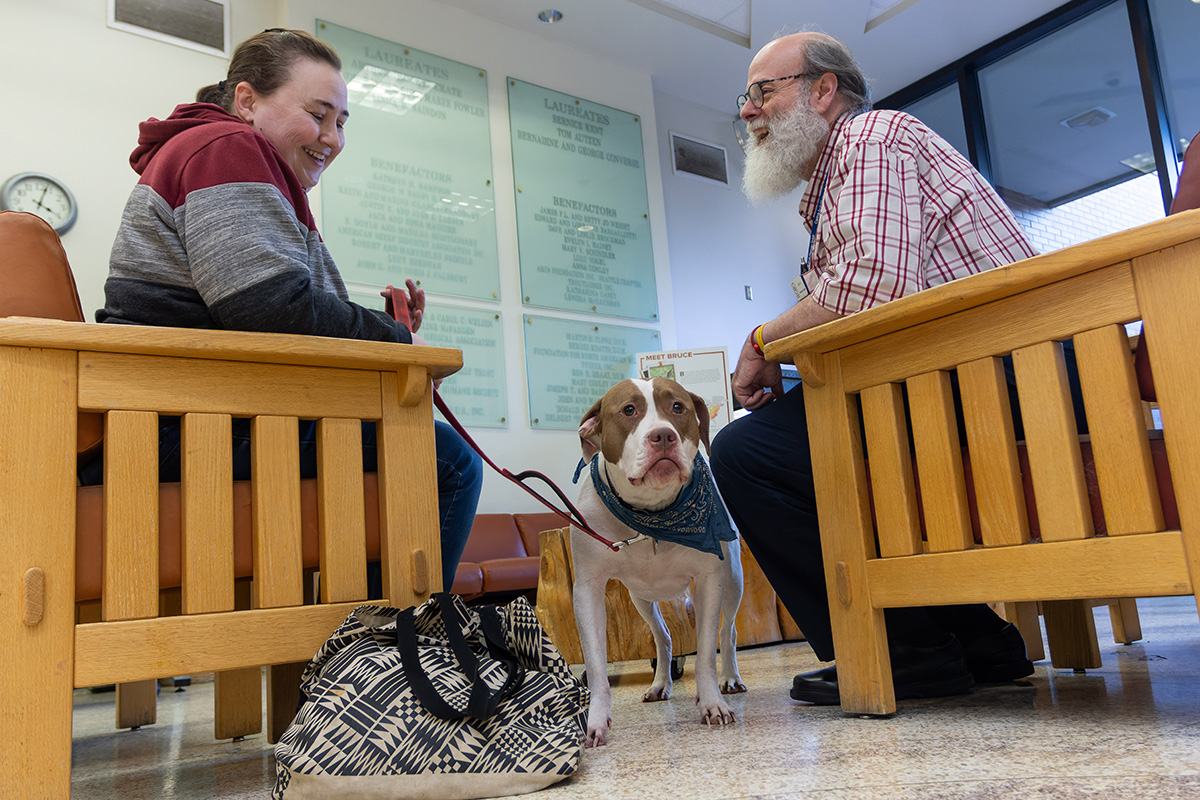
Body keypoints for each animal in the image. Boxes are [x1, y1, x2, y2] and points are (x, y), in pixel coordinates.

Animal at [568, 379, 739, 748]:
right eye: (628, 410)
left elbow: (706, 653)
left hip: (733, 580)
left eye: (678, 407)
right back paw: (661, 682)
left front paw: (712, 702)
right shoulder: (588, 589)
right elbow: (597, 666)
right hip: (641, 597)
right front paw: (596, 720)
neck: (650, 518)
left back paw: (730, 678)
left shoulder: (709, 579)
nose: (663, 435)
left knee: (728, 631)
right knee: (663, 638)